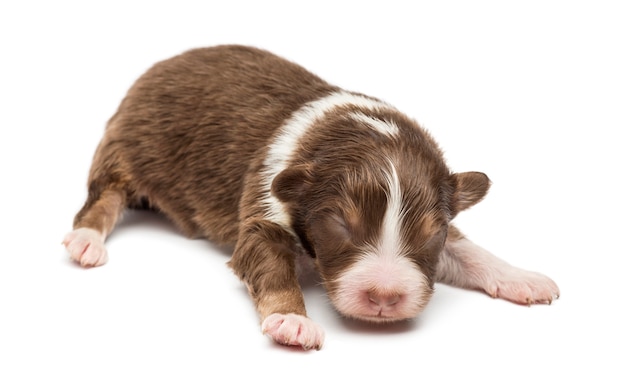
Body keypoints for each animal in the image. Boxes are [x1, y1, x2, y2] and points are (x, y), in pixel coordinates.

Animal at [63, 45, 560, 352]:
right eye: (340, 226)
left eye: (430, 235)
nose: (385, 297)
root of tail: (159, 65)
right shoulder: (262, 212)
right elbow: (272, 270)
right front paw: (293, 322)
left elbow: (469, 250)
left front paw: (522, 278)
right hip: (124, 145)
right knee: (103, 197)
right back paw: (87, 241)